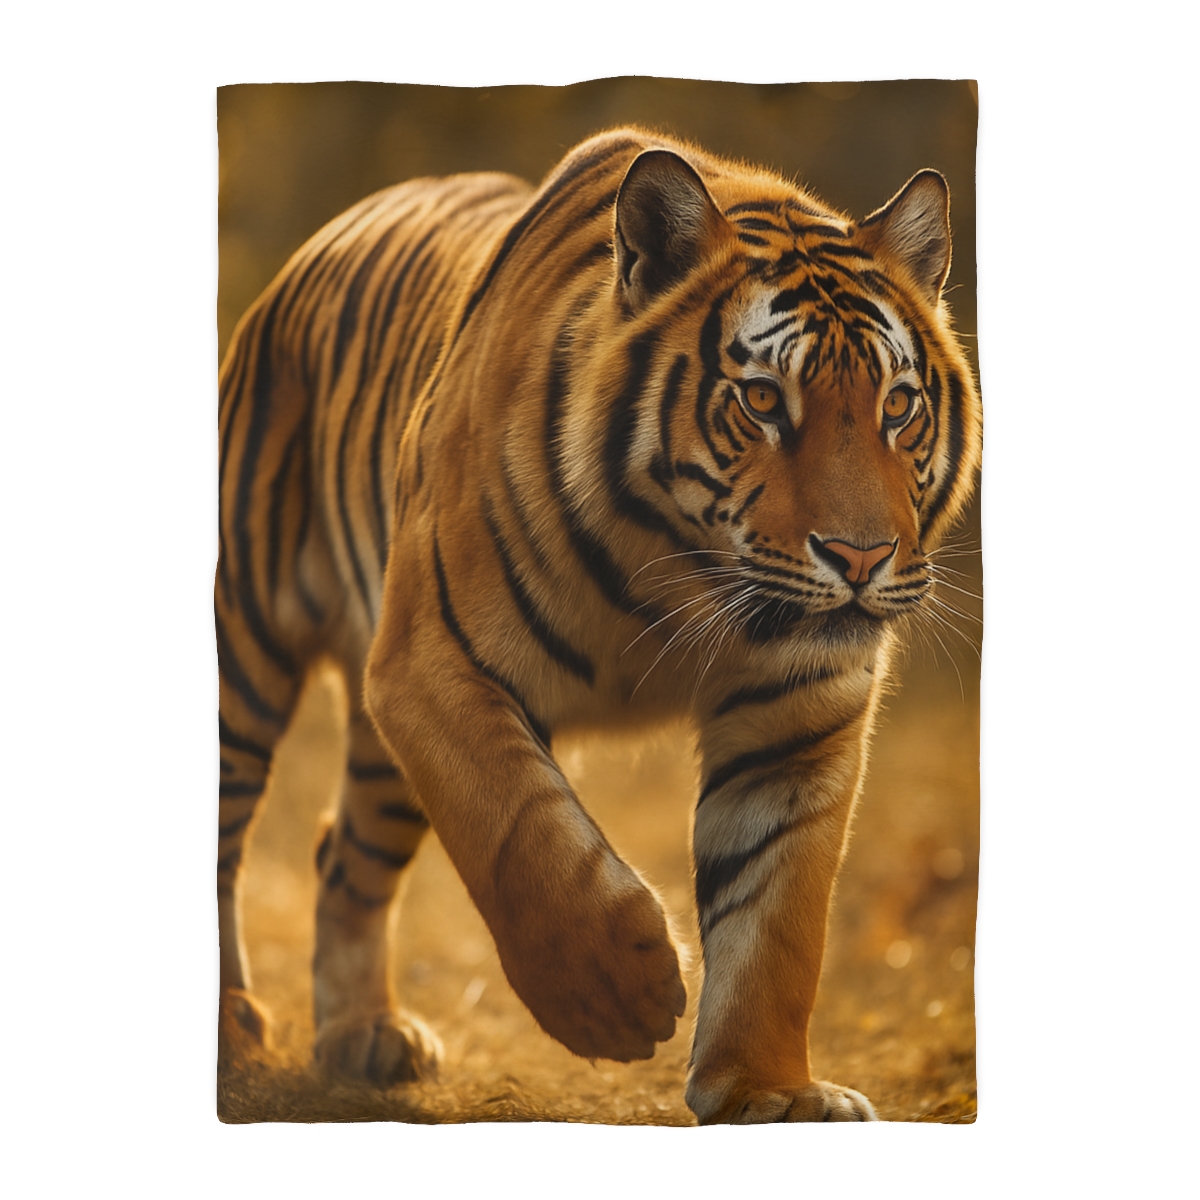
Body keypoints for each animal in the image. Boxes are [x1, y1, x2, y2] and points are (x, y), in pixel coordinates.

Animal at [216, 125, 981, 1124]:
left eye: (898, 405)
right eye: (763, 402)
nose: (860, 560)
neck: (681, 574)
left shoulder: (797, 713)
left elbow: (780, 916)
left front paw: (769, 1093)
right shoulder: (428, 663)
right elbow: (519, 833)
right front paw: (618, 996)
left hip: (381, 762)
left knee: (343, 854)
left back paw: (364, 1036)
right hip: (244, 645)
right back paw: (231, 1027)